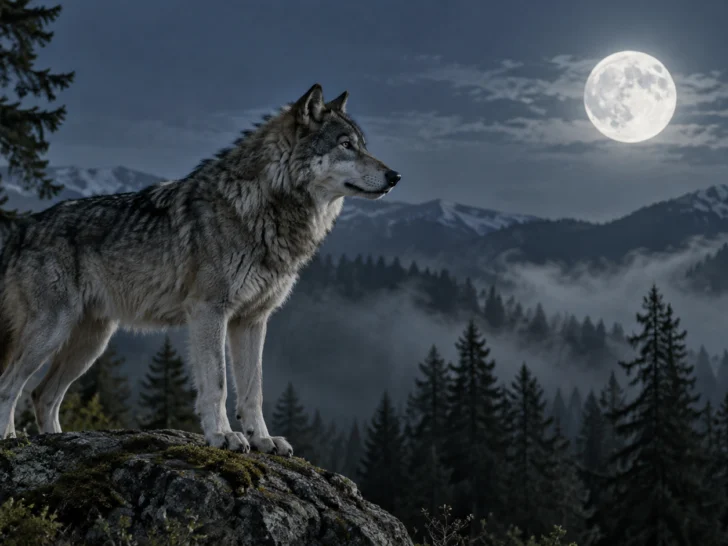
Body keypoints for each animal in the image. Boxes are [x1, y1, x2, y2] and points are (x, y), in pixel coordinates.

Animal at [0, 84, 401, 454]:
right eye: (346, 145)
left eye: (363, 145)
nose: (395, 176)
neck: (263, 208)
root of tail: (20, 229)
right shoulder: (210, 312)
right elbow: (218, 384)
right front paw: (223, 435)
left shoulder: (252, 320)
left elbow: (253, 390)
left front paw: (263, 440)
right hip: (52, 332)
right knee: (9, 384)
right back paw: (9, 439)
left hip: (91, 344)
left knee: (42, 395)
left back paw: (56, 440)